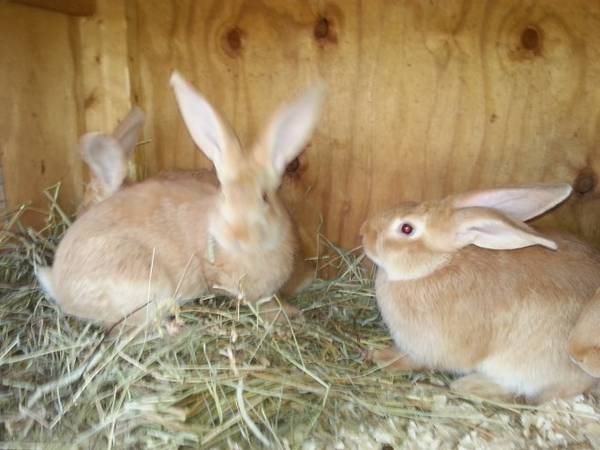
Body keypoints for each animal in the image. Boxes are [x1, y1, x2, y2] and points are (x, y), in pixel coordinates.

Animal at [360, 184, 600, 404]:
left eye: (407, 229)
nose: (364, 231)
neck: (435, 267)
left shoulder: (429, 349)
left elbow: (413, 359)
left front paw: (381, 357)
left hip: (522, 366)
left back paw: (469, 385)